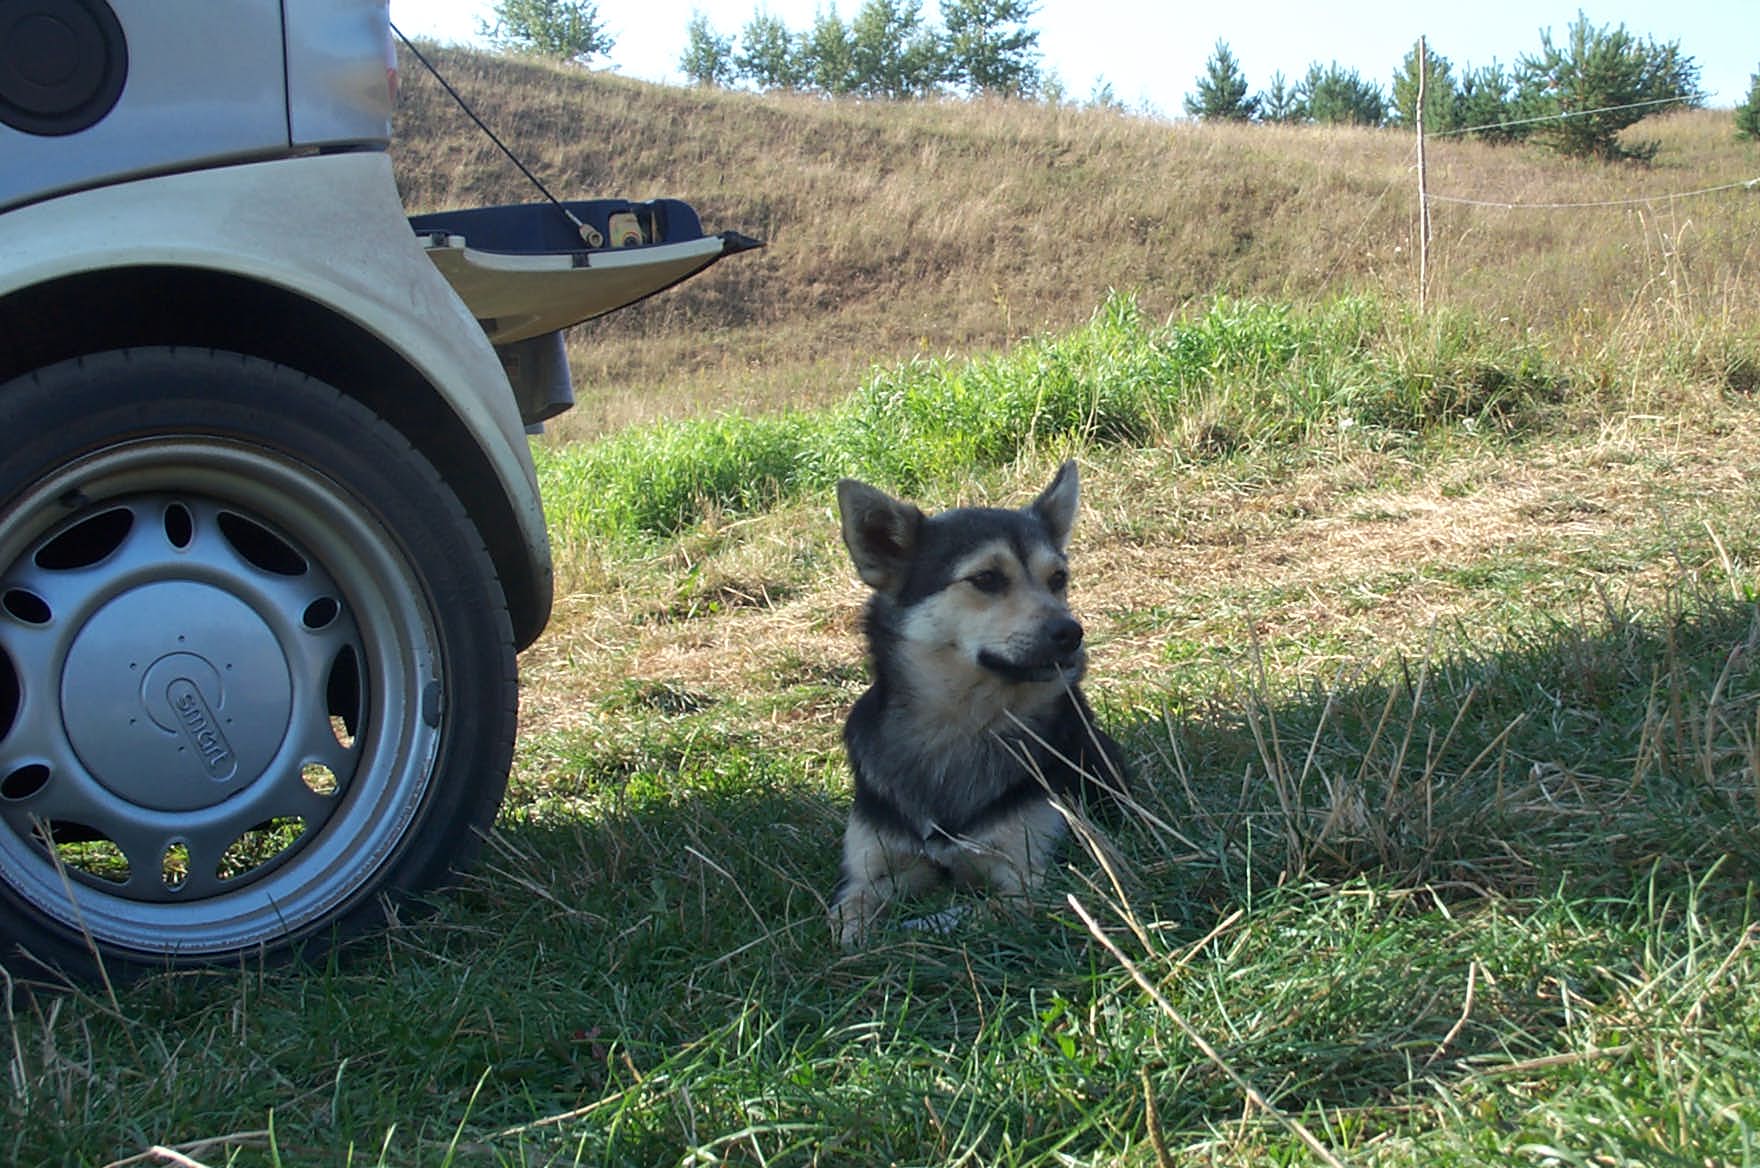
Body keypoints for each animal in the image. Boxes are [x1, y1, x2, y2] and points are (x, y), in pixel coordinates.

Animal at [827, 460, 1126, 942]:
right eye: (986, 579)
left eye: (1058, 579)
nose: (1071, 632)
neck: (959, 723)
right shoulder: (866, 875)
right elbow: (845, 920)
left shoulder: (1032, 880)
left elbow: (967, 914)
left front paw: (914, 929)